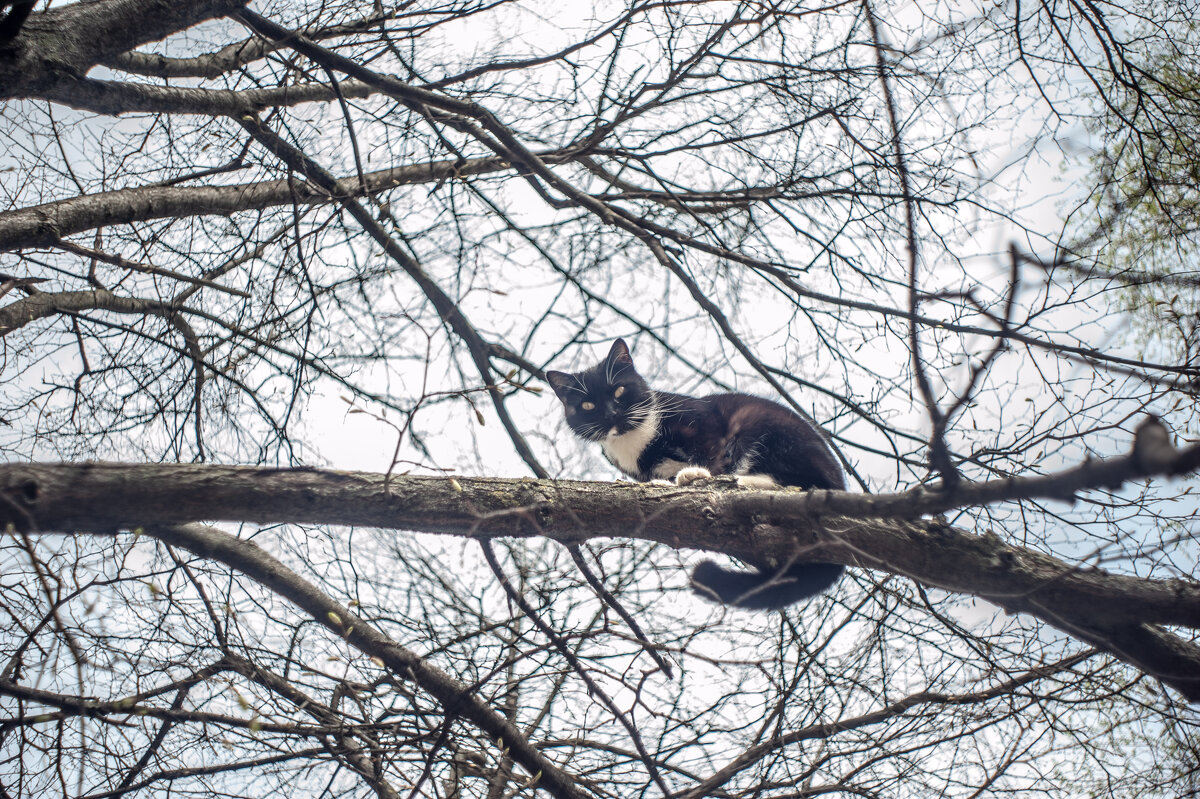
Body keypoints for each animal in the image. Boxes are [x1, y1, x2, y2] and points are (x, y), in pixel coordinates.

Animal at [547, 338, 844, 609]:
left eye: (619, 390)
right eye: (587, 406)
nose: (611, 414)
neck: (634, 438)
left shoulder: (703, 421)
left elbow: (709, 450)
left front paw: (697, 474)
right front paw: (662, 485)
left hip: (771, 431)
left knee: (802, 482)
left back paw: (738, 480)